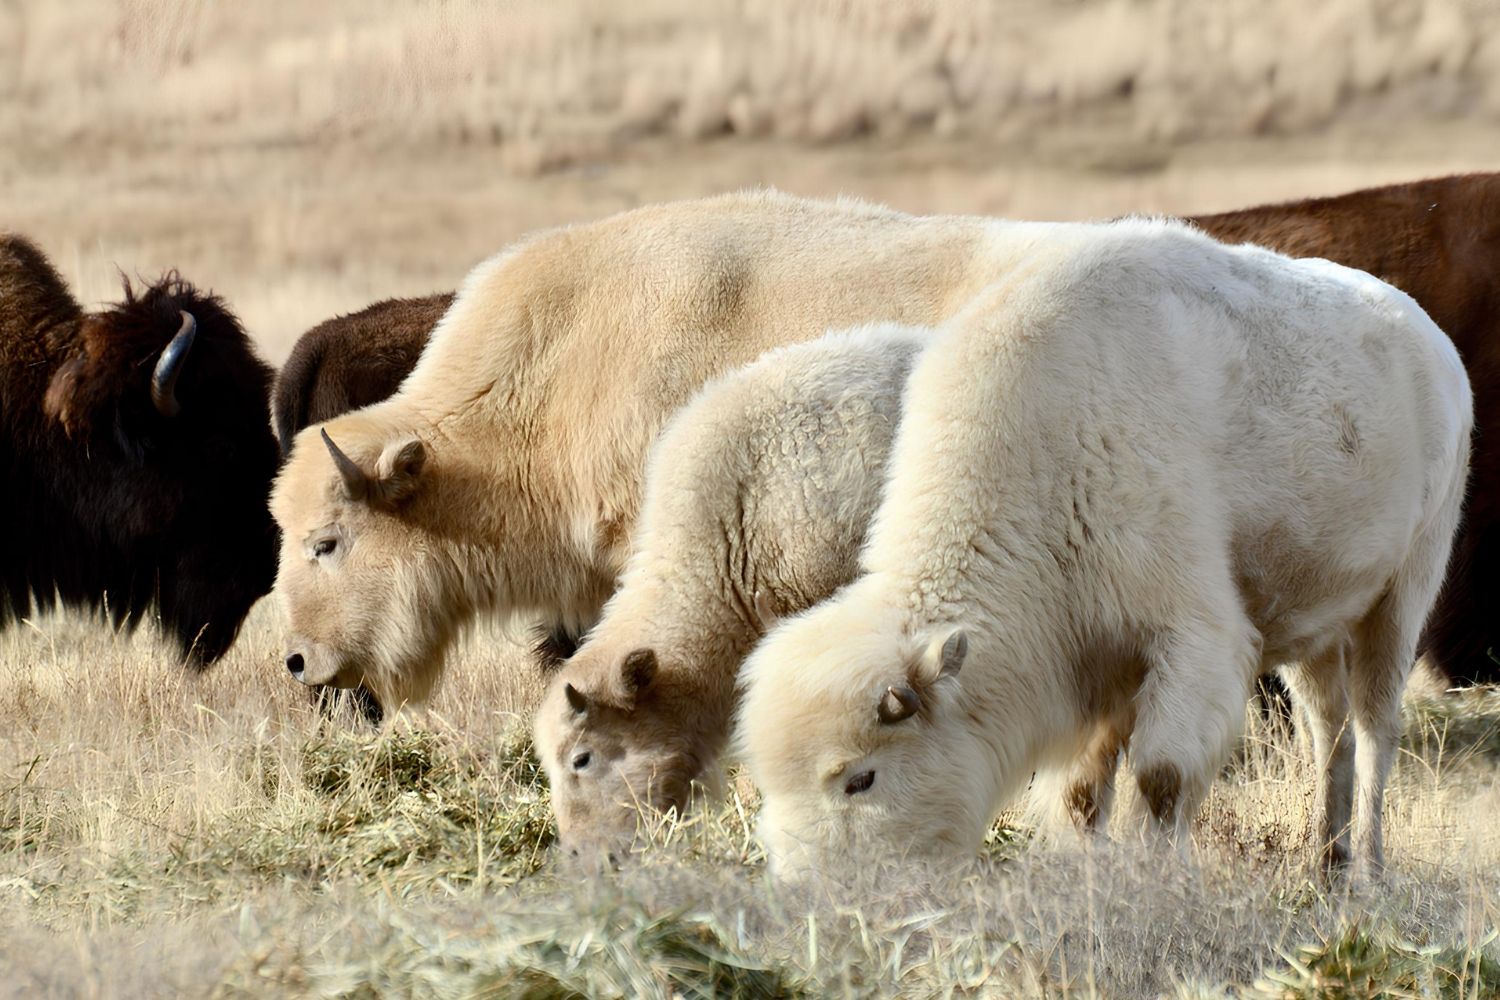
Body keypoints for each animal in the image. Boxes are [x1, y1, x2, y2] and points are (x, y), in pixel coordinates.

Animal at [738, 217, 1464, 881]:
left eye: (860, 778)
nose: (809, 888)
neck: (1047, 449)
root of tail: (1434, 344)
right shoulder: (1099, 657)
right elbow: (1084, 792)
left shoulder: (1191, 640)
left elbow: (1162, 777)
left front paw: (1153, 879)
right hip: (1313, 629)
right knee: (1328, 730)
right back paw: (1325, 862)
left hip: (1401, 599)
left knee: (1374, 728)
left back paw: (1369, 868)